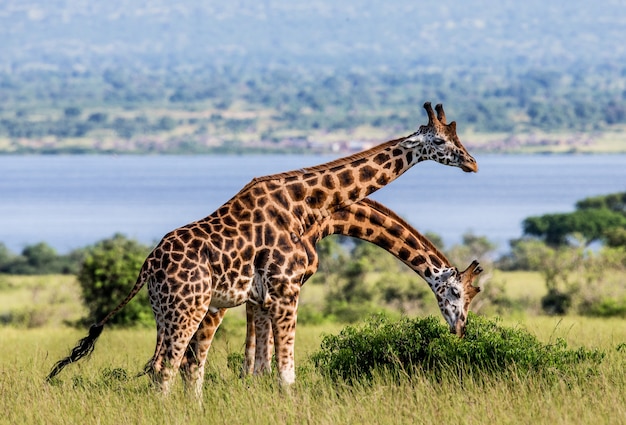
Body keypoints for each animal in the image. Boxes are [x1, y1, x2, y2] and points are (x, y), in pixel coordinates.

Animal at [47, 100, 478, 394]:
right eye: (442, 140)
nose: (472, 163)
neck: (311, 207)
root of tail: (147, 266)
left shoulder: (261, 296)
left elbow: (258, 366)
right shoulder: (285, 291)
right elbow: (283, 371)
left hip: (167, 310)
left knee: (173, 366)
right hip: (191, 307)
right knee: (171, 367)